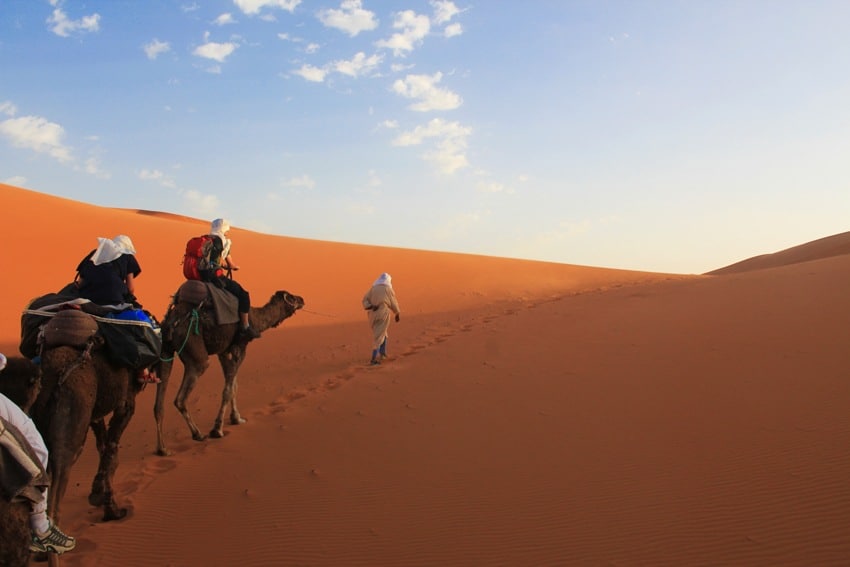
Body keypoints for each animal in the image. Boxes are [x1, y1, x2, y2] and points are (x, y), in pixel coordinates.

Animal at [154, 288, 304, 458]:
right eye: (292, 297)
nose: (302, 299)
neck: (255, 319)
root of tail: (171, 323)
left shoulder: (224, 350)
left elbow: (233, 386)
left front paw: (236, 418)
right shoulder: (240, 345)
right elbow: (228, 389)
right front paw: (217, 429)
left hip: (165, 350)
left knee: (159, 402)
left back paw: (163, 449)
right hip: (194, 351)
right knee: (181, 397)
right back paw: (198, 434)